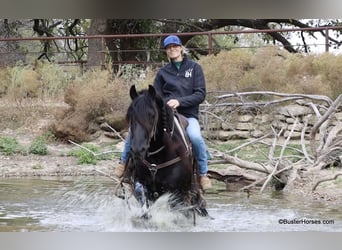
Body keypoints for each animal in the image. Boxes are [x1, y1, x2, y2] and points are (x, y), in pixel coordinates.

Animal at [123, 84, 208, 219]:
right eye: (130, 115)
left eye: (152, 115)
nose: (137, 150)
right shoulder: (140, 182)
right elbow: (143, 199)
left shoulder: (177, 193)